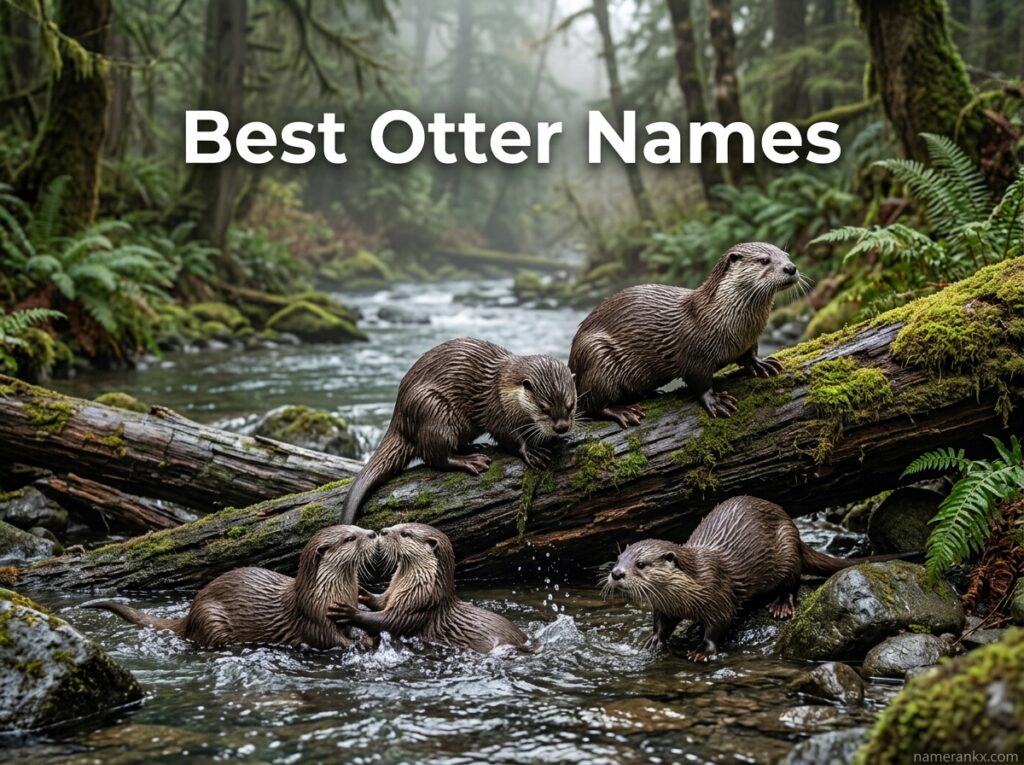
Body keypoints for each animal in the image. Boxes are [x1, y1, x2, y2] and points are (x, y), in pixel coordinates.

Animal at [86, 525, 377, 649]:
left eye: (358, 526)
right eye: (350, 537)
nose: (374, 533)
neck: (330, 593)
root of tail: (190, 614)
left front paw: (366, 635)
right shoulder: (312, 617)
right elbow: (329, 639)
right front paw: (358, 644)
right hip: (211, 618)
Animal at [327, 522, 527, 654]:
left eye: (405, 533)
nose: (382, 531)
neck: (422, 587)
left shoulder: (417, 606)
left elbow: (385, 621)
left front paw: (348, 612)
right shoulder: (393, 593)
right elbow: (381, 602)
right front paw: (361, 592)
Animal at [341, 337, 576, 523]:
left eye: (570, 405)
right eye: (544, 408)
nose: (562, 427)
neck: (504, 389)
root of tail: (400, 417)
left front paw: (554, 439)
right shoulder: (496, 409)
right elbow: (508, 437)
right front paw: (531, 451)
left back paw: (474, 447)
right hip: (433, 410)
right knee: (434, 456)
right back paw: (471, 461)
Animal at [569, 242, 800, 427]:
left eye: (787, 255)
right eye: (764, 260)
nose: (791, 268)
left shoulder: (749, 341)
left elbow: (750, 354)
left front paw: (761, 364)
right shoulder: (695, 354)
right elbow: (699, 381)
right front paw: (716, 401)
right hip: (597, 357)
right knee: (593, 403)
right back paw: (624, 411)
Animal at [604, 496, 900, 661]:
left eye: (640, 564)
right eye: (617, 560)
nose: (616, 574)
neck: (689, 590)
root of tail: (793, 526)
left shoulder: (718, 595)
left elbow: (719, 624)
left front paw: (703, 651)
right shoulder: (665, 607)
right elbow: (661, 625)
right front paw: (653, 640)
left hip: (787, 552)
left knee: (793, 581)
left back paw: (781, 606)